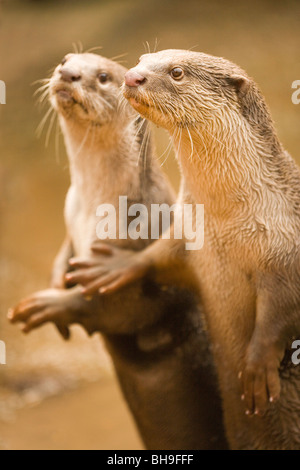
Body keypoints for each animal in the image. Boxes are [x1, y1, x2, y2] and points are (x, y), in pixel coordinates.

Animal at [7, 52, 227, 452]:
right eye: (66, 60)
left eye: (104, 77)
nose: (67, 73)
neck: (94, 209)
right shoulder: (70, 219)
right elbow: (64, 254)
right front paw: (56, 281)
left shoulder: (146, 245)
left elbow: (123, 310)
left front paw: (50, 304)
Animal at [71, 49, 300, 450]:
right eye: (143, 58)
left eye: (177, 72)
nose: (131, 77)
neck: (228, 225)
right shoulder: (187, 236)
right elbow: (154, 259)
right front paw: (115, 266)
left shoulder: (285, 252)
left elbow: (279, 315)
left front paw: (257, 368)